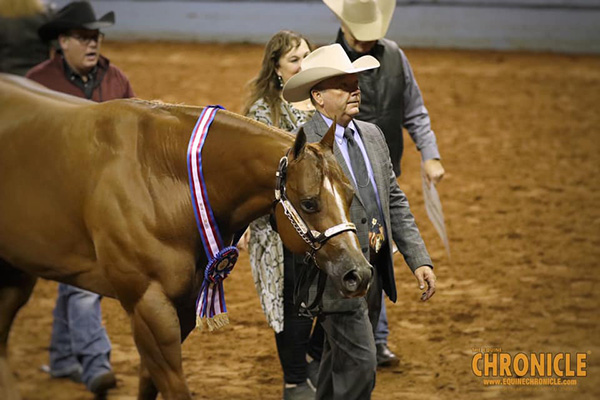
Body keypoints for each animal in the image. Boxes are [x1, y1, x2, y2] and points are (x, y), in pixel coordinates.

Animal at [0, 73, 372, 398]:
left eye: (350, 194)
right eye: (309, 202)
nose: (359, 273)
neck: (161, 175)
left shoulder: (180, 305)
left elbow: (149, 383)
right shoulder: (148, 305)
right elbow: (173, 387)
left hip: (16, 274)